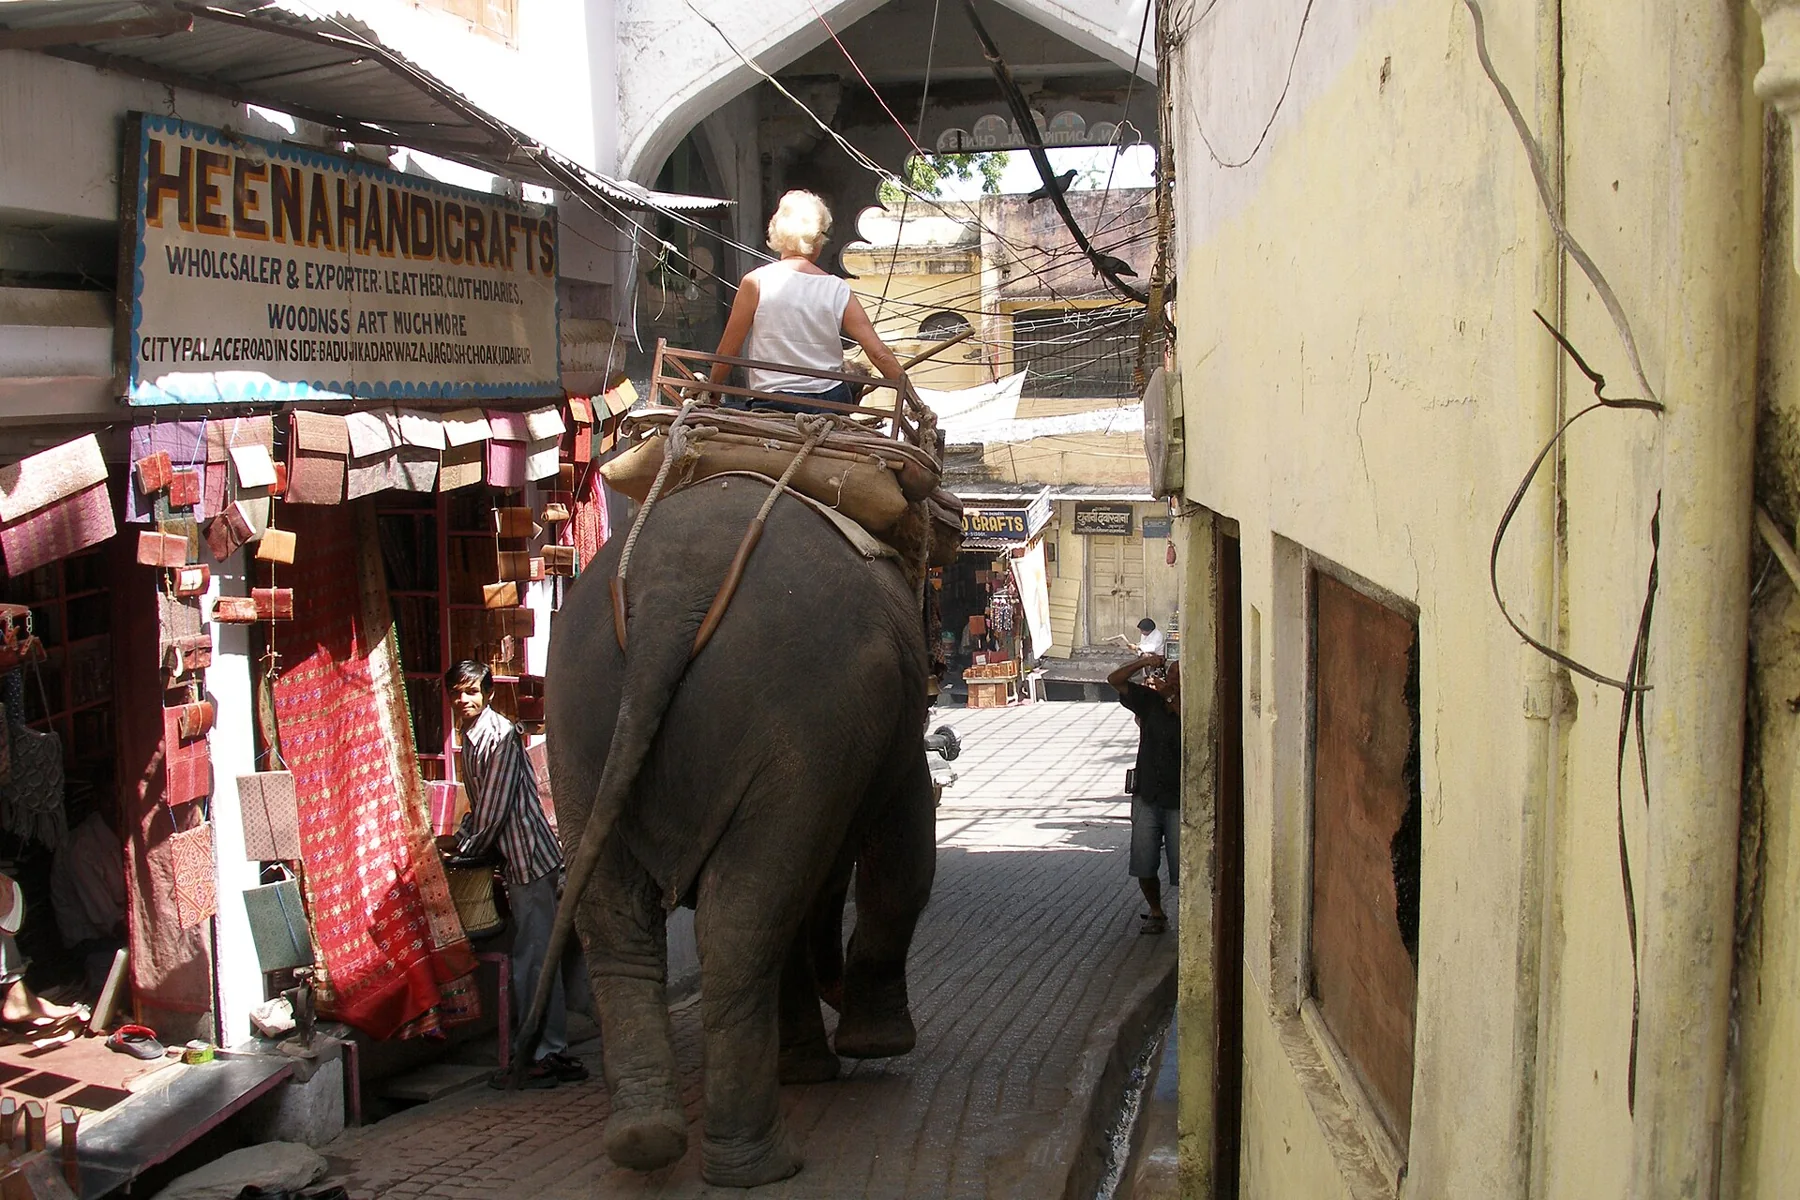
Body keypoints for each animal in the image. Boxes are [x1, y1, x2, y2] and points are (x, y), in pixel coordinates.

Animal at [520, 476, 938, 1189]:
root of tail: (669, 599)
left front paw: (809, 1065)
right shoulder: (895, 739)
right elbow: (904, 856)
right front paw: (873, 1047)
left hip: (574, 719)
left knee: (622, 920)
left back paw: (646, 1140)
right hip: (803, 721)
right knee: (742, 918)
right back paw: (761, 1165)